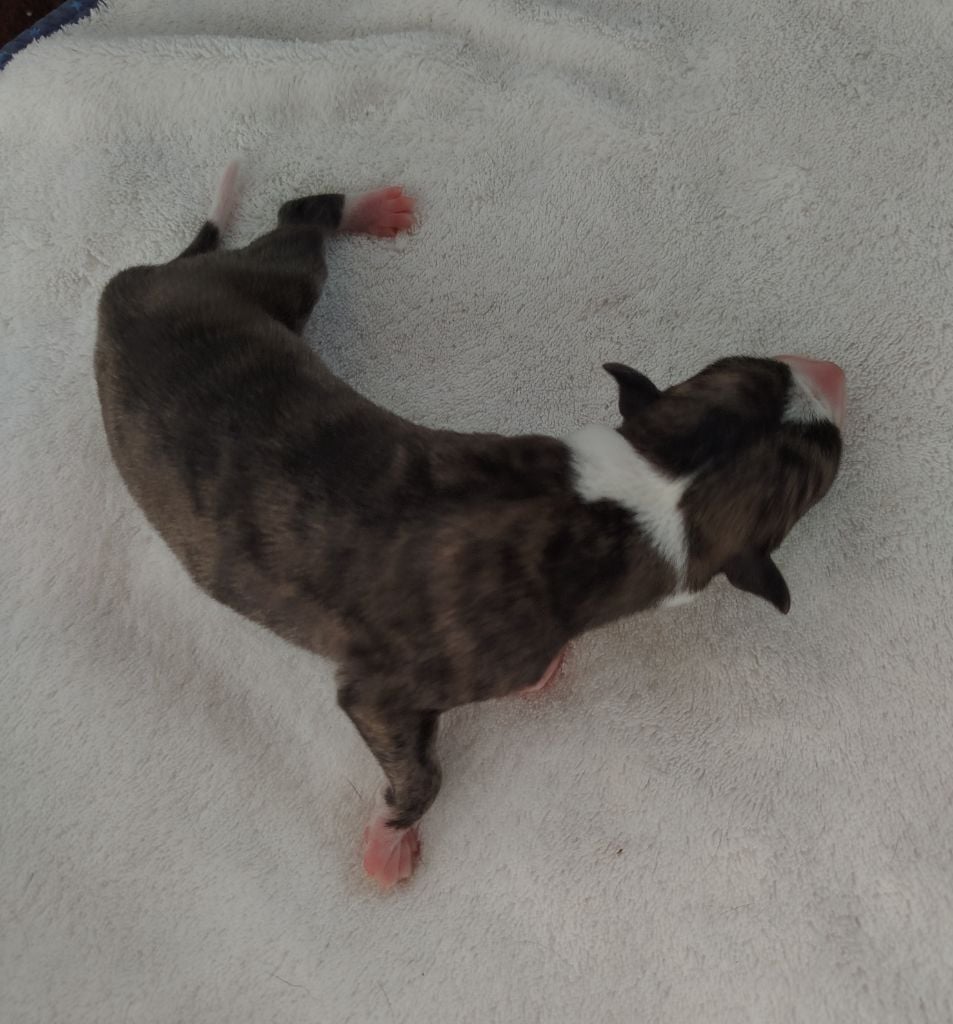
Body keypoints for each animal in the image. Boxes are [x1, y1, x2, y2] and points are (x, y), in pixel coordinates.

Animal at [94, 164, 845, 887]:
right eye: (828, 462)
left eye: (756, 368)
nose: (832, 372)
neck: (644, 490)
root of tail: (127, 287)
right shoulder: (385, 690)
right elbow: (421, 772)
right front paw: (390, 840)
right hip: (284, 282)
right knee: (297, 217)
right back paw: (369, 209)